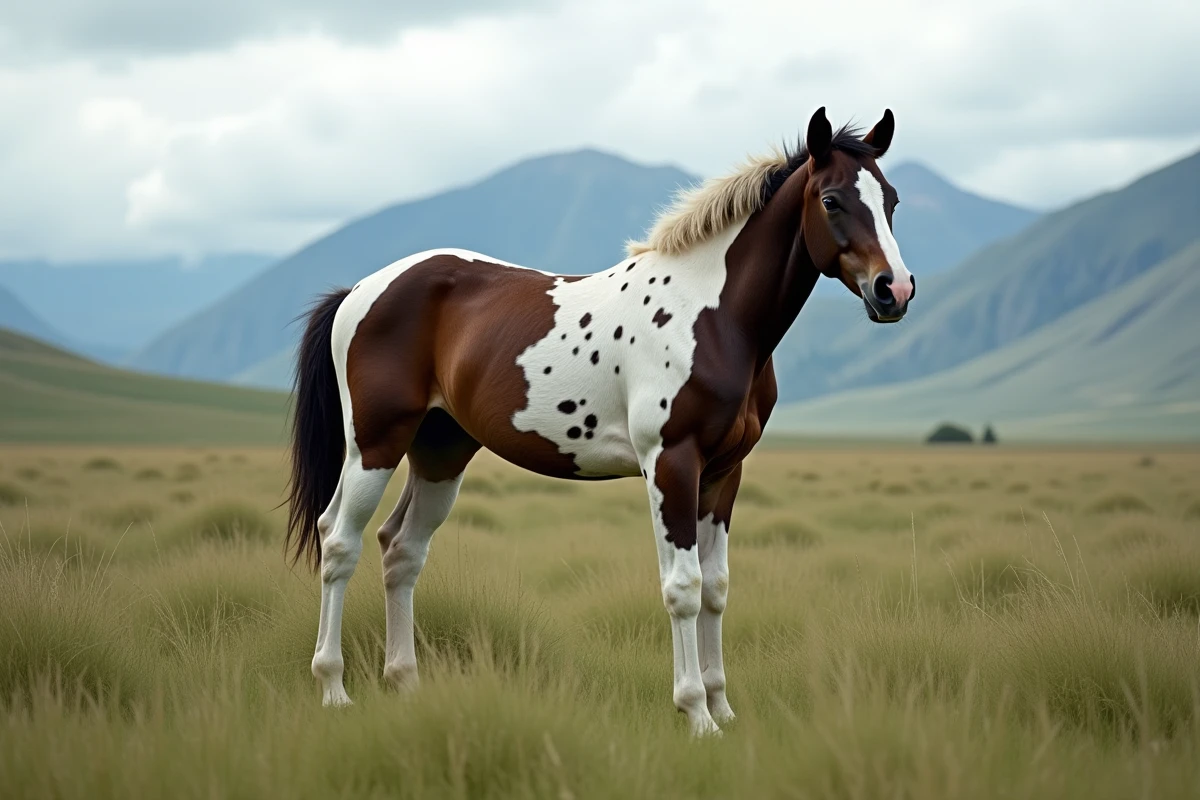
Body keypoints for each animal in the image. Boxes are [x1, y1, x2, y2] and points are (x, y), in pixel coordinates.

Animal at [285, 106, 915, 736]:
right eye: (831, 200)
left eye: (890, 199)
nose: (895, 290)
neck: (711, 317)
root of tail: (359, 291)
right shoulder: (671, 463)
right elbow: (682, 587)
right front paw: (696, 714)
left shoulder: (723, 473)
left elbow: (715, 588)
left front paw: (722, 708)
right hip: (375, 444)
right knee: (339, 542)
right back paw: (333, 688)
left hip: (441, 452)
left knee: (401, 549)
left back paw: (406, 684)